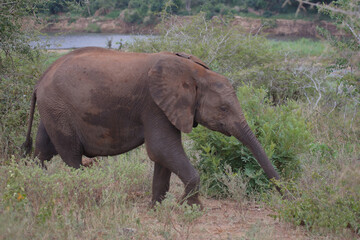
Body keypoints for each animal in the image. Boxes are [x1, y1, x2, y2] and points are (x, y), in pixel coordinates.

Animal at [23, 47, 282, 206]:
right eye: (224, 109)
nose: (286, 196)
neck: (194, 71)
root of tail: (39, 81)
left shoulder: (165, 107)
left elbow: (162, 156)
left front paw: (156, 207)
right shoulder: (154, 105)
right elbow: (161, 148)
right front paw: (188, 207)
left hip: (53, 110)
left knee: (43, 152)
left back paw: (36, 185)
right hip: (59, 109)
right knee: (71, 156)